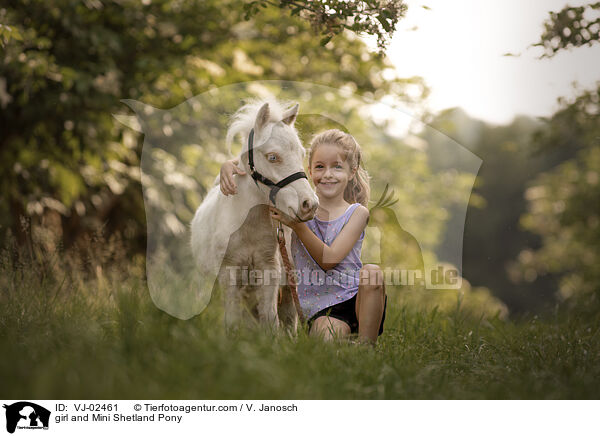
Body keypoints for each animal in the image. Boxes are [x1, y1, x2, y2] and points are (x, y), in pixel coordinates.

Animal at [191, 99, 318, 330]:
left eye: (302, 154)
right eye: (272, 157)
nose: (309, 205)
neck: (247, 228)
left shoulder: (269, 271)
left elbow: (271, 320)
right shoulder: (230, 273)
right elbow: (233, 320)